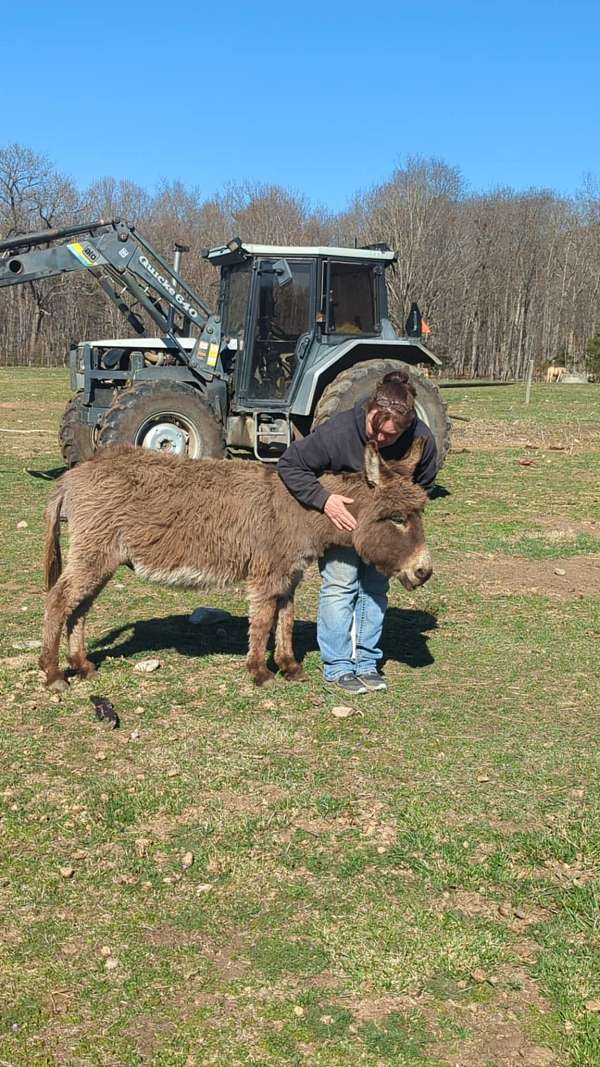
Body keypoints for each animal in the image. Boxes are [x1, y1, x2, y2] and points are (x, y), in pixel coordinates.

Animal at [40, 443, 429, 687]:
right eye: (397, 519)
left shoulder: (289, 574)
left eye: (419, 514)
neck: (305, 508)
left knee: (80, 608)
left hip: (102, 559)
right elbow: (263, 621)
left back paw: (82, 666)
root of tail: (73, 475)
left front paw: (289, 667)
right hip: (94, 553)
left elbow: (286, 619)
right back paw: (54, 674)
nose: (424, 571)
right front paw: (260, 672)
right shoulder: (267, 574)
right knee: (58, 600)